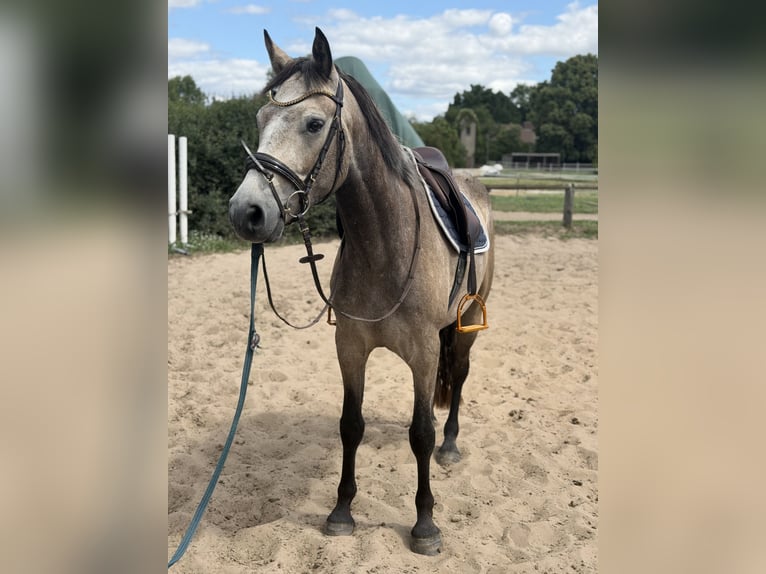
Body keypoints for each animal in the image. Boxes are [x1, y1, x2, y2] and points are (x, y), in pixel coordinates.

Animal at [228, 28, 494, 555]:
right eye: (261, 119)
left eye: (314, 124)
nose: (246, 211)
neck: (385, 244)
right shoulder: (349, 346)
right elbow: (350, 426)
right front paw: (341, 511)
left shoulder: (424, 351)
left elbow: (420, 433)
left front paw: (425, 524)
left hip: (467, 325)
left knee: (460, 377)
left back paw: (452, 444)